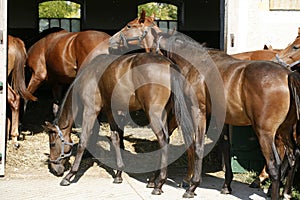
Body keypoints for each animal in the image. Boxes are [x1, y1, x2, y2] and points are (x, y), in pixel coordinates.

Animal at [42, 52, 192, 196]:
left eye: (52, 144)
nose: (54, 169)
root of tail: (168, 64)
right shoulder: (110, 112)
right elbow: (116, 139)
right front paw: (119, 173)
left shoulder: (90, 110)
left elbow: (83, 141)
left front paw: (69, 176)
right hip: (164, 114)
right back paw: (154, 180)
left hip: (153, 114)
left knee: (162, 139)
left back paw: (159, 183)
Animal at [109, 13, 300, 198]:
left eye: (129, 26)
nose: (112, 42)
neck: (196, 62)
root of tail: (288, 75)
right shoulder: (219, 118)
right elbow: (224, 147)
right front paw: (226, 185)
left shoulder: (197, 111)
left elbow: (196, 145)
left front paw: (191, 185)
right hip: (285, 130)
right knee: (292, 156)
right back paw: (286, 192)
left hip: (266, 133)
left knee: (274, 166)